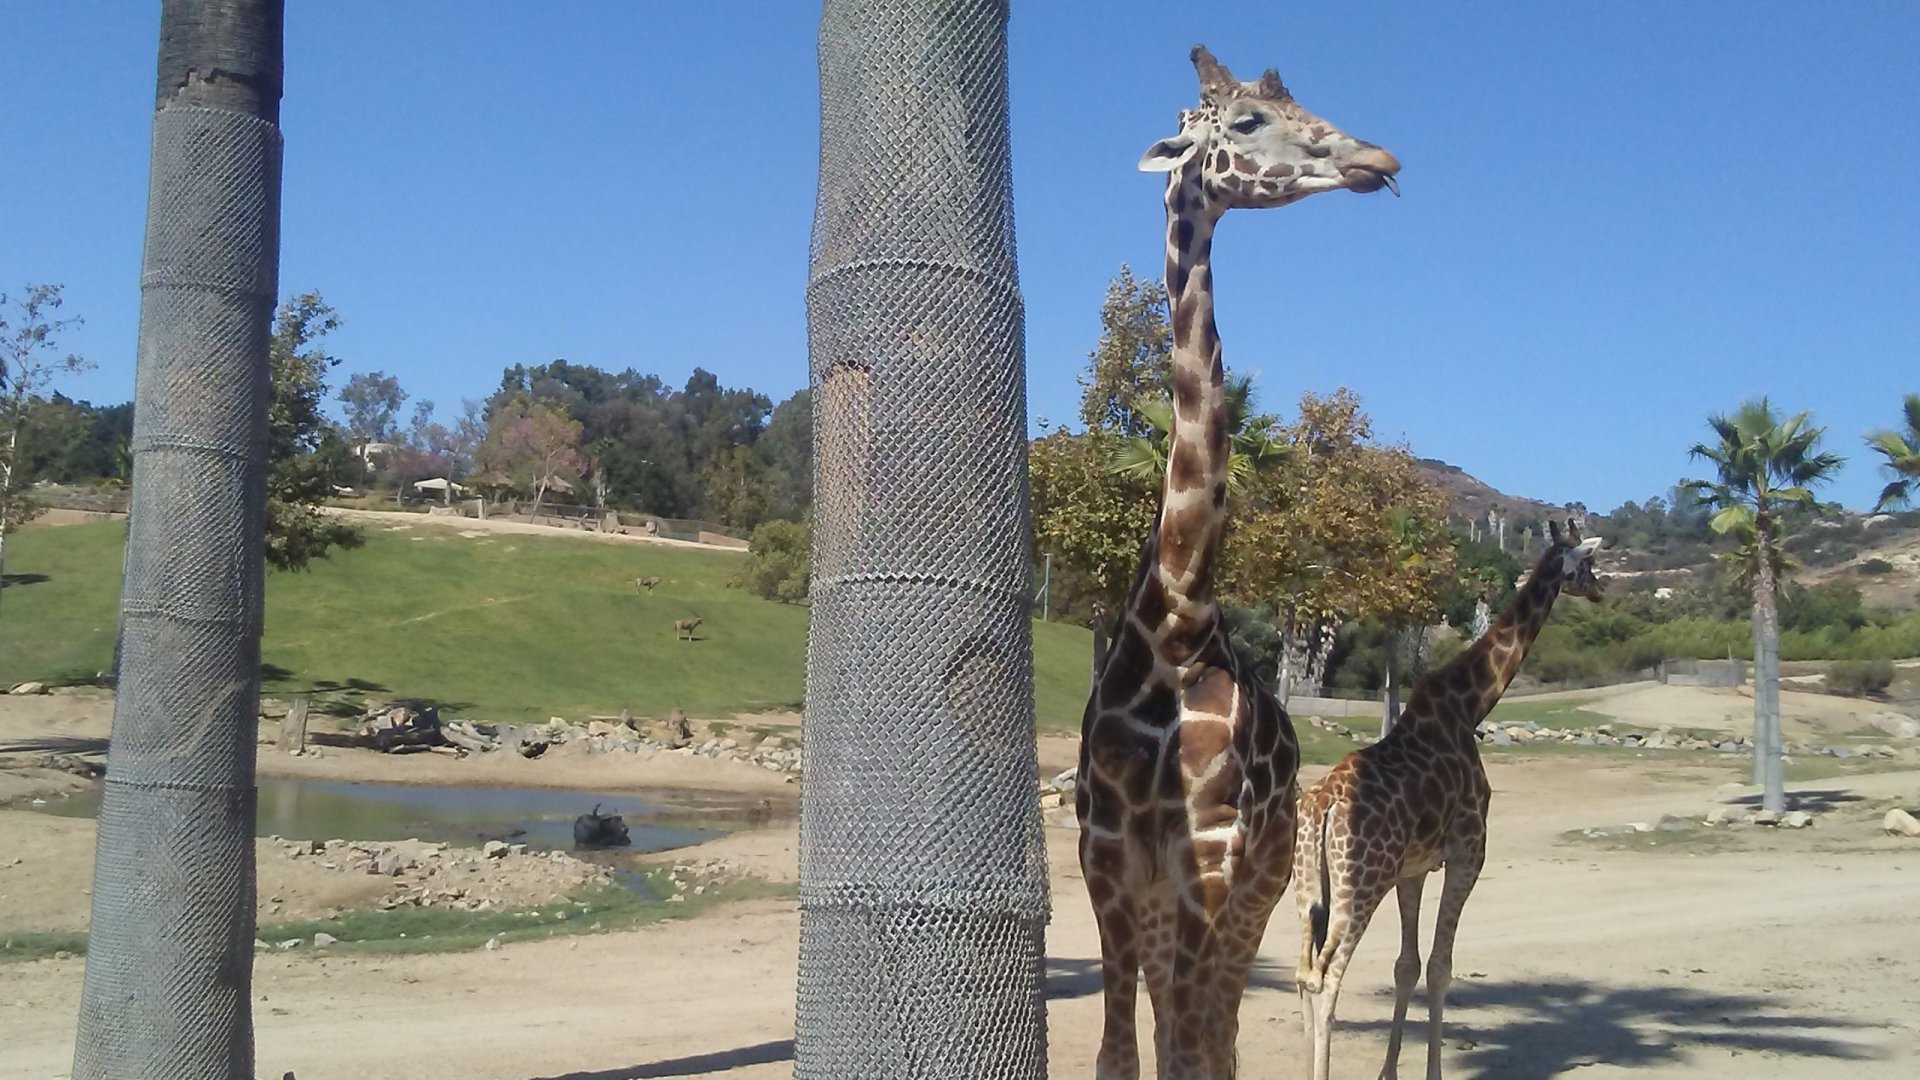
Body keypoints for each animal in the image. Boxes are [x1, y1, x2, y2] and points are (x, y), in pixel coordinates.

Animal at [1076, 45, 1401, 1080]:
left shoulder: (1211, 860)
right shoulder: (1106, 862)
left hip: (1260, 886)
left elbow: (1187, 1054)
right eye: (1248, 122)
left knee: (1215, 1034)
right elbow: (1121, 1058)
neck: (1174, 614)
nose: (1379, 158)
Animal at [1292, 518, 1606, 1080]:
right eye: (1587, 563)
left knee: (1304, 972)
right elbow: (1440, 967)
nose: (1601, 590)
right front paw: (1431, 1072)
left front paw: (1389, 1072)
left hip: (1308, 887)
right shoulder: (1467, 853)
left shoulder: (1413, 869)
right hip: (1358, 886)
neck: (1471, 706)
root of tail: (1322, 808)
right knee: (1328, 977)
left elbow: (1407, 965)